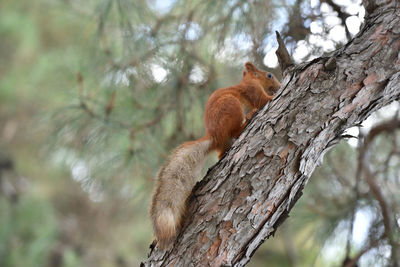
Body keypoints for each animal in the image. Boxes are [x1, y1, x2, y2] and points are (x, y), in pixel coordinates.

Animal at [151, 61, 282, 250]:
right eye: (269, 75)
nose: (278, 85)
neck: (247, 81)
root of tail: (214, 136)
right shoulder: (252, 89)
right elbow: (262, 100)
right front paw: (274, 95)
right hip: (231, 106)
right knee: (235, 130)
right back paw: (247, 120)